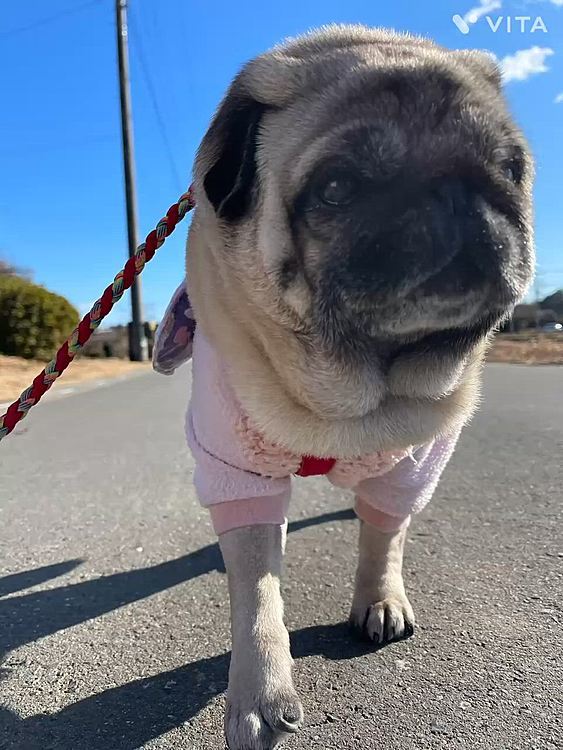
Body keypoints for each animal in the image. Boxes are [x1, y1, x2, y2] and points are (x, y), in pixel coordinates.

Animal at [153, 23, 532, 750]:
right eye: (336, 189)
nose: (454, 190)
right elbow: (255, 590)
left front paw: (379, 599)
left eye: (509, 171)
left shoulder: (413, 463)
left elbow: (384, 537)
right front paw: (259, 689)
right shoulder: (235, 466)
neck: (347, 391)